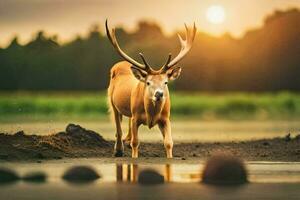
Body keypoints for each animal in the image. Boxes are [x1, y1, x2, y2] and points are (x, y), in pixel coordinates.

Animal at [105, 20, 197, 158]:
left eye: (166, 82)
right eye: (148, 83)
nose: (159, 94)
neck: (151, 114)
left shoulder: (166, 118)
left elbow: (168, 142)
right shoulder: (136, 117)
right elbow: (135, 142)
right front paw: (133, 156)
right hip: (112, 102)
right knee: (118, 126)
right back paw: (119, 151)